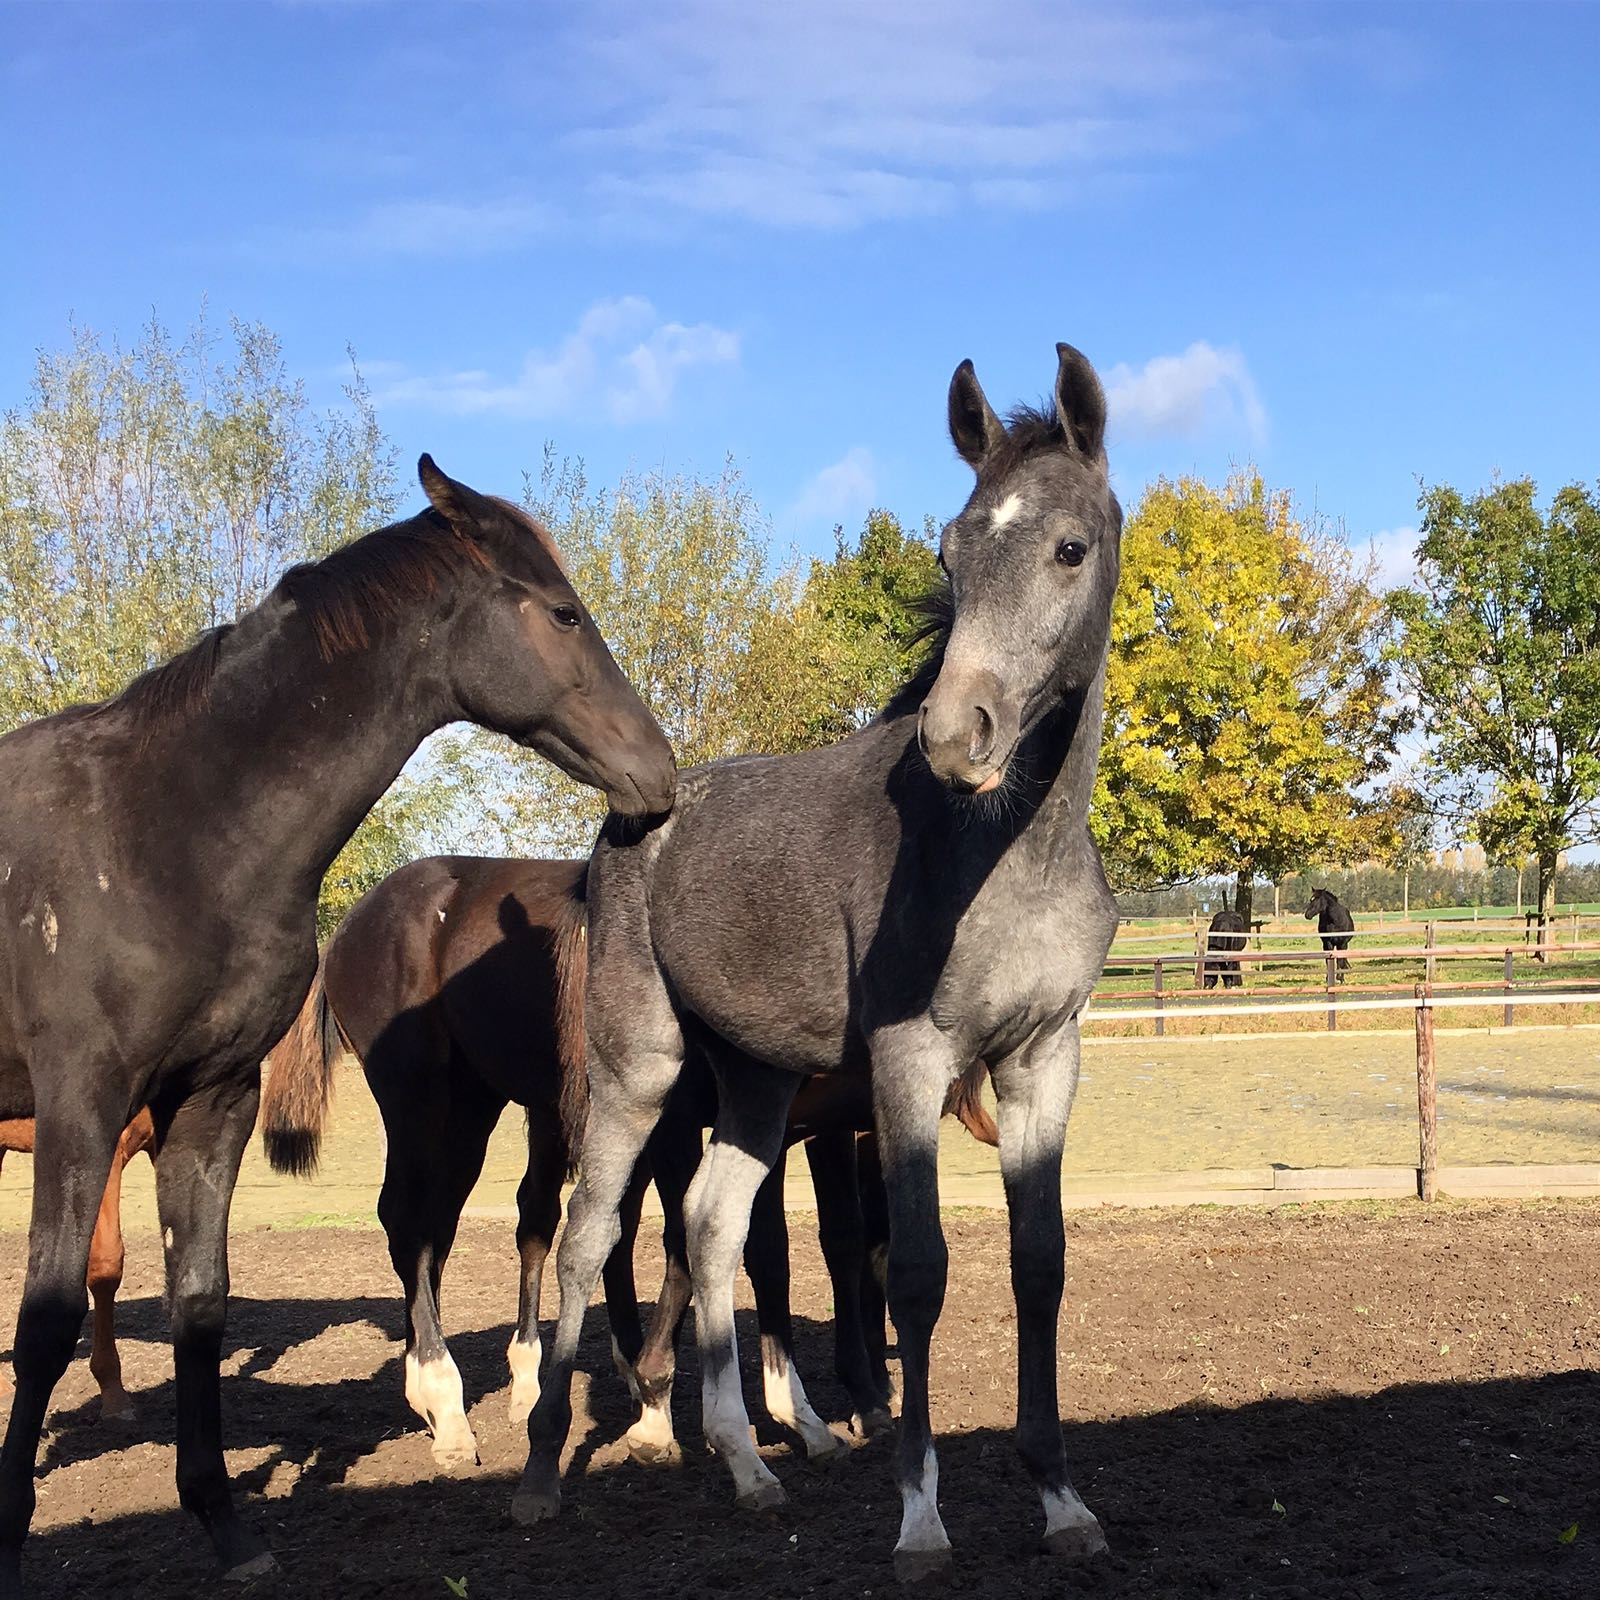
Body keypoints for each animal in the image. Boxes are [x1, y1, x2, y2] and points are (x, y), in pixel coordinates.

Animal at [0, 457, 672, 1593]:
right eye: (562, 612)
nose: (659, 772)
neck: (163, 830)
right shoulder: (80, 1108)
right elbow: (45, 1320)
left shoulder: (211, 1102)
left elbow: (200, 1302)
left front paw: (224, 1524)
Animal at [256, 857, 992, 1465]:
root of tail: (358, 917)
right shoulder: (694, 1126)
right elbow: (694, 1246)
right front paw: (663, 1409)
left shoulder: (796, 1128)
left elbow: (796, 1249)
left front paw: (818, 1410)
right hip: (421, 1101)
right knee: (411, 1223)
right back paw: (446, 1401)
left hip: (476, 1107)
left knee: (453, 1228)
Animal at [518, 344, 1120, 1580]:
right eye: (949, 554)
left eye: (1068, 547)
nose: (957, 733)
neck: (1004, 848)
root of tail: (629, 817)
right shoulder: (906, 1066)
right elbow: (914, 1272)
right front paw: (921, 1518)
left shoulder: (1045, 1059)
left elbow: (1038, 1260)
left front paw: (1061, 1499)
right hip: (638, 1072)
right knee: (587, 1234)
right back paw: (543, 1473)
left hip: (754, 1082)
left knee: (709, 1227)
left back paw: (749, 1468)